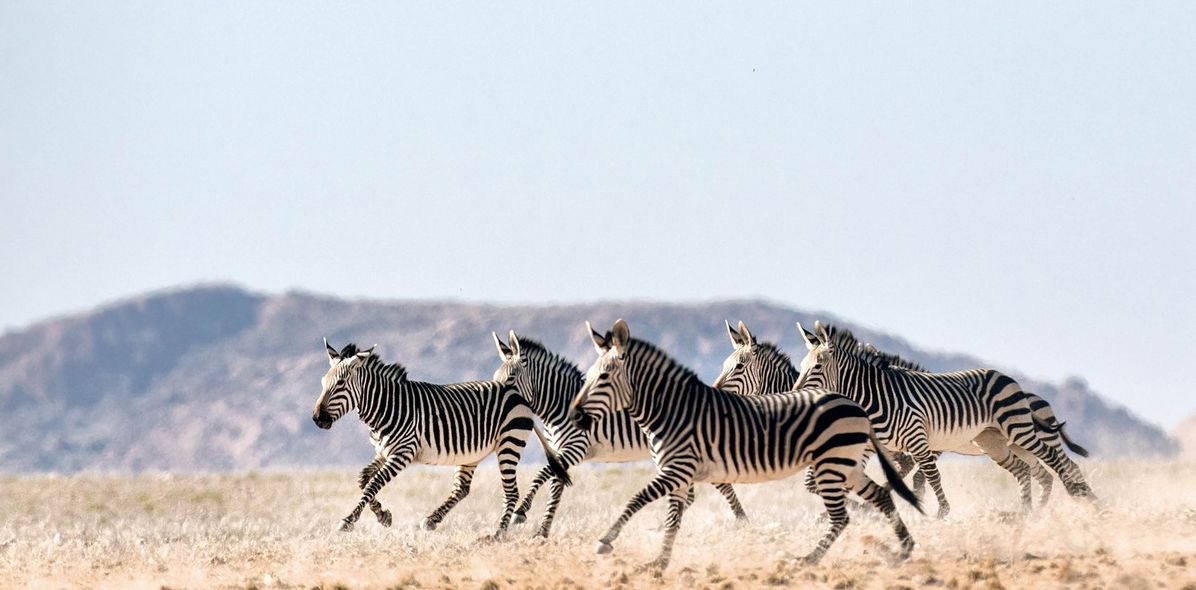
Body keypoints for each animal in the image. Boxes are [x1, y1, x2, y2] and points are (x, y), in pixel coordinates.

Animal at [312, 339, 571, 537]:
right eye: (323, 383)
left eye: (340, 384)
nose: (317, 418)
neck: (387, 406)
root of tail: (518, 394)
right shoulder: (384, 452)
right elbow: (364, 480)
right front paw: (383, 516)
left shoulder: (402, 452)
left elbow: (374, 483)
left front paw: (349, 519)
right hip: (472, 453)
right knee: (462, 489)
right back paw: (433, 520)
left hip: (510, 443)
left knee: (511, 493)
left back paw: (498, 534)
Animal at [490, 331, 747, 538]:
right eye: (494, 379)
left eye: (510, 378)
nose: (497, 403)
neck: (559, 405)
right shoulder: (559, 451)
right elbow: (556, 488)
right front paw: (542, 531)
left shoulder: (576, 447)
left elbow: (541, 474)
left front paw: (522, 512)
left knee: (719, 485)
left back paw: (742, 520)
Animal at [569, 319, 922, 571]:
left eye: (603, 377)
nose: (575, 415)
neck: (672, 410)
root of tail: (854, 405)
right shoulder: (682, 475)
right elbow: (673, 518)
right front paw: (659, 562)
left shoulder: (678, 470)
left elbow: (636, 498)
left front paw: (606, 541)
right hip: (845, 464)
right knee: (883, 494)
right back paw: (903, 548)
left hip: (834, 464)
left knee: (847, 513)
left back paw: (810, 558)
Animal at [713, 320, 1090, 508]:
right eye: (725, 365)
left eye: (739, 367)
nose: (714, 391)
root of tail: (1035, 397)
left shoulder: (900, 447)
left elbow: (916, 479)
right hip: (1000, 444)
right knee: (1038, 473)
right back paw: (1034, 512)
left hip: (1023, 436)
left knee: (1061, 466)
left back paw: (1081, 500)